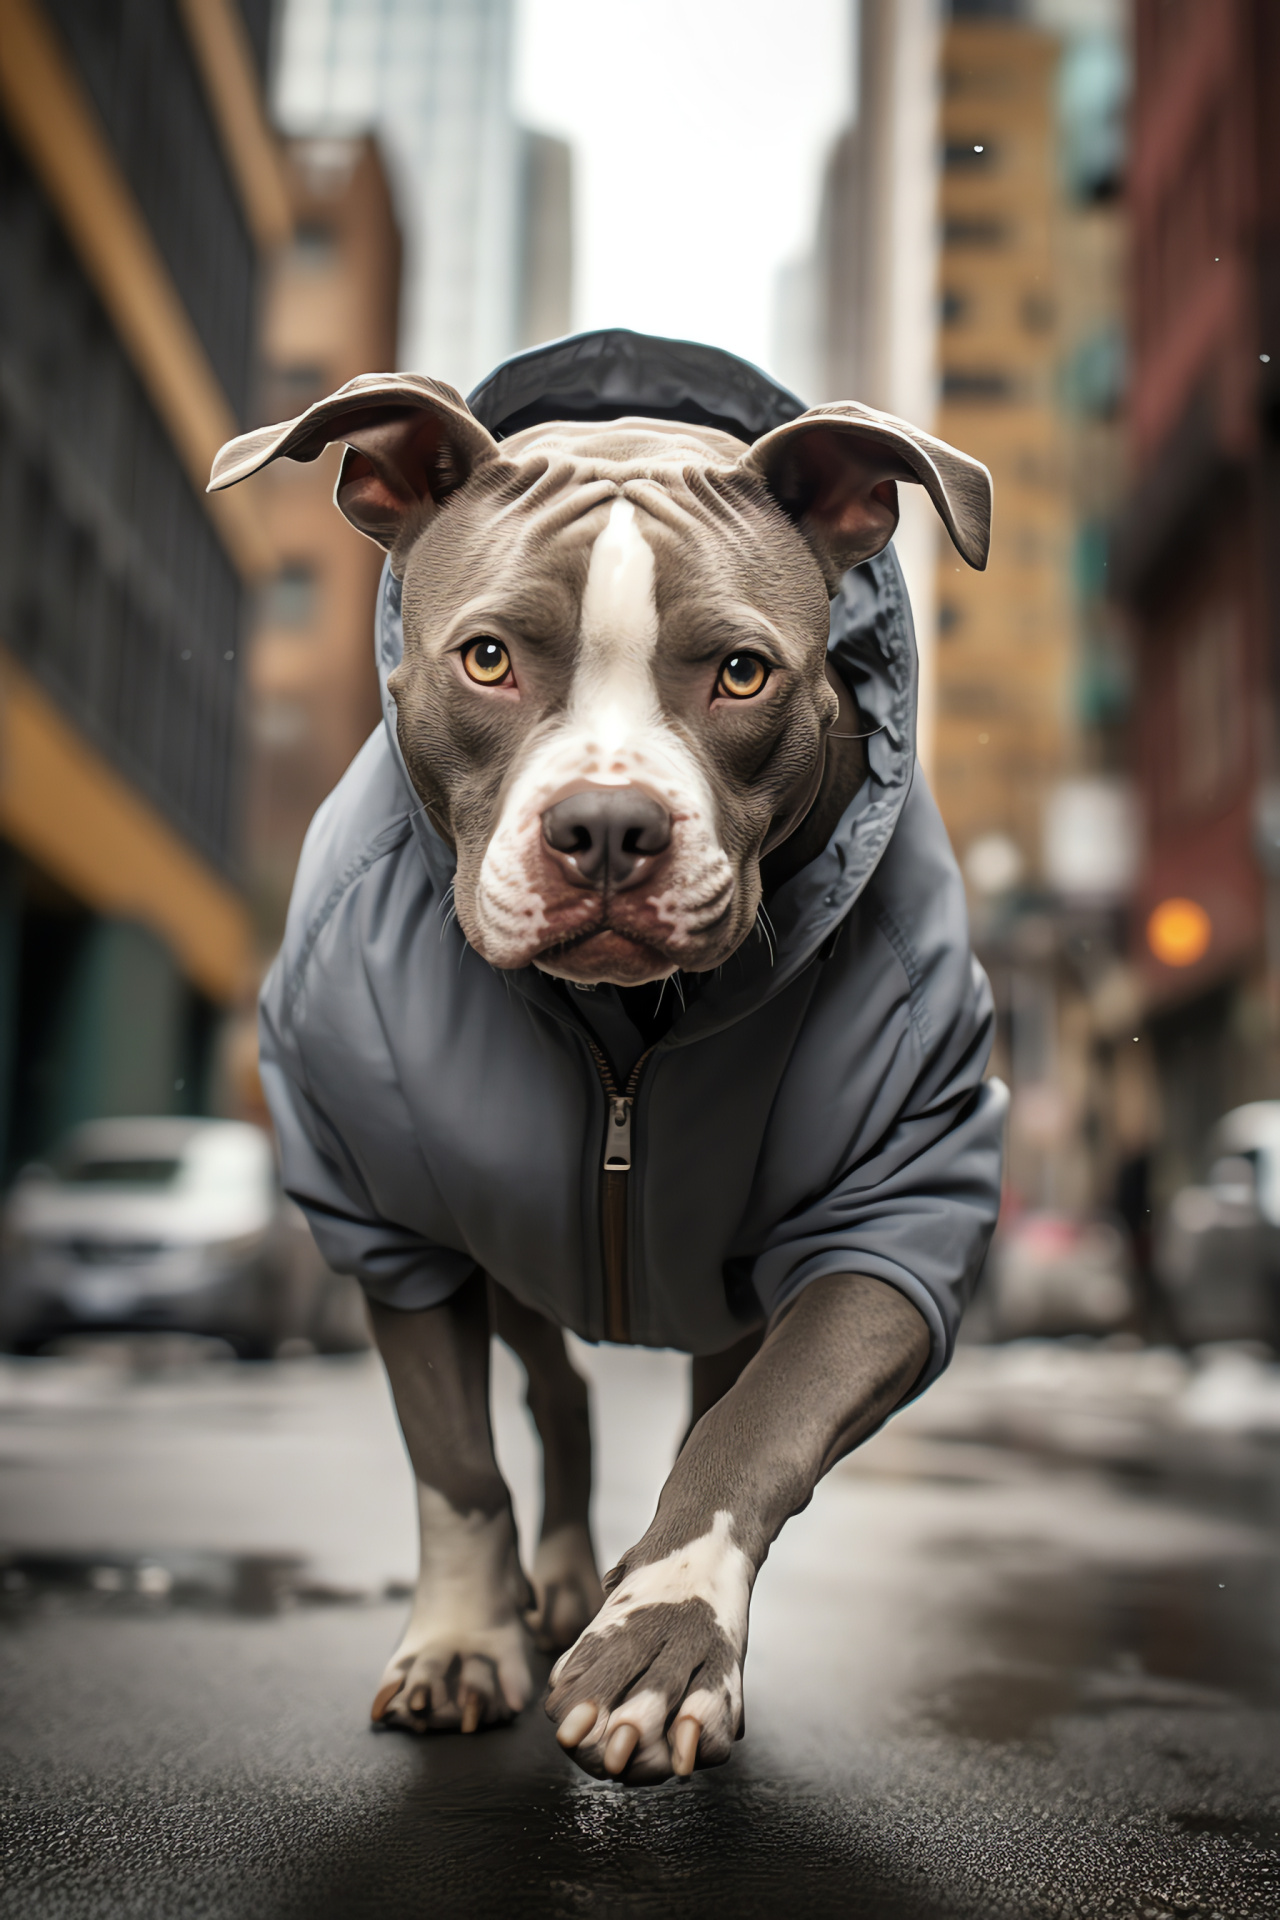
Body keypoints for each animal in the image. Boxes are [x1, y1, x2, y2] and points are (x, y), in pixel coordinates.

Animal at [214, 330, 1005, 1781]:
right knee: (557, 1397)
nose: (605, 827)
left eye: (742, 674)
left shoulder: (890, 1227)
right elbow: (456, 1461)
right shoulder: (391, 1227)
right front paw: (462, 1644)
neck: (626, 1047)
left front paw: (663, 1635)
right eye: (484, 659)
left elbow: (751, 1431)